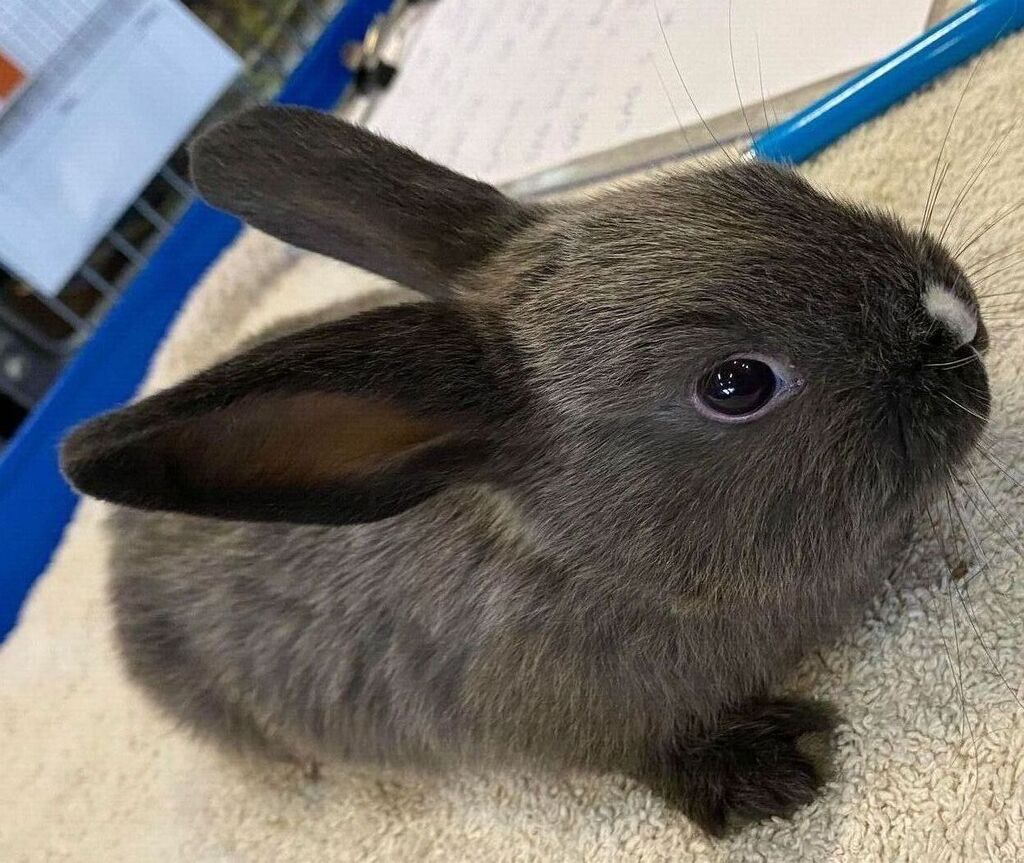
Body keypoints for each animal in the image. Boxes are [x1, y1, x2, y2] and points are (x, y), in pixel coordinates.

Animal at [60, 105, 991, 836]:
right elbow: (648, 752)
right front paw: (772, 766)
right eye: (736, 384)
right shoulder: (583, 720)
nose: (958, 326)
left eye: (777, 186)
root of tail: (115, 557)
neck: (592, 558)